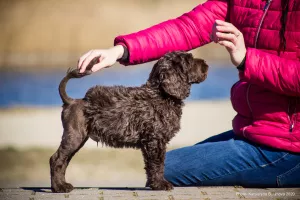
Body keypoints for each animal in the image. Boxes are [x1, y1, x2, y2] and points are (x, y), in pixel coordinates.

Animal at [49, 51, 209, 192]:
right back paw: (59, 187)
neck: (161, 95)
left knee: (64, 161)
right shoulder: (155, 140)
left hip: (78, 139)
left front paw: (153, 184)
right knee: (56, 159)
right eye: (189, 61)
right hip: (74, 136)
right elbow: (158, 164)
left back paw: (62, 185)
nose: (206, 65)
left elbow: (150, 165)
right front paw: (161, 184)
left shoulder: (149, 142)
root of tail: (71, 101)